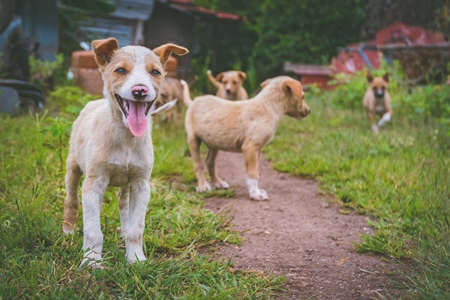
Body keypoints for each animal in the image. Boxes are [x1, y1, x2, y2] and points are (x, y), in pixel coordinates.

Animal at [61, 37, 188, 268]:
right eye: (120, 70)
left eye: (155, 72)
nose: (140, 91)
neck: (126, 138)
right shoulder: (93, 183)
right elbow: (93, 230)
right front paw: (91, 262)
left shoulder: (141, 184)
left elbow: (136, 228)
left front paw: (136, 258)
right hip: (73, 168)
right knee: (72, 200)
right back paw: (68, 230)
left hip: (126, 183)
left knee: (123, 203)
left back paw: (123, 229)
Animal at [179, 76, 310, 200]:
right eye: (303, 96)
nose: (309, 111)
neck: (269, 106)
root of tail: (193, 101)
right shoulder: (250, 148)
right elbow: (253, 174)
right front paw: (255, 194)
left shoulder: (256, 150)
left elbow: (248, 173)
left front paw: (253, 190)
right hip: (193, 140)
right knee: (198, 164)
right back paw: (203, 186)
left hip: (214, 143)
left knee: (210, 162)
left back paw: (218, 183)